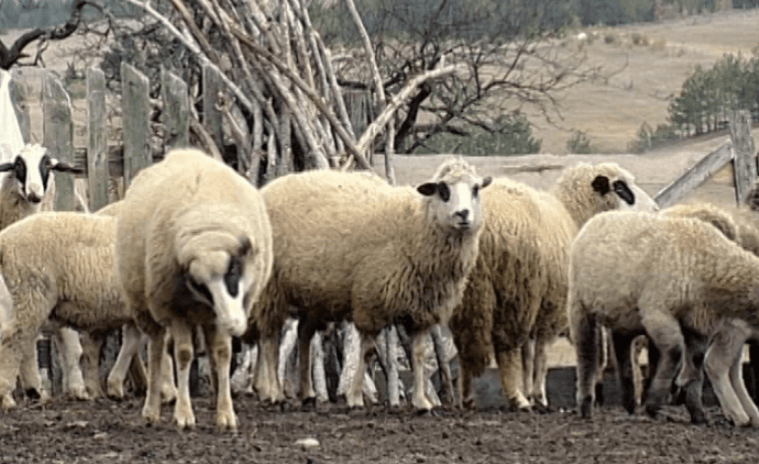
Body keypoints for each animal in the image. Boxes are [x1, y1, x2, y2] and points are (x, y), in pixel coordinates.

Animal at [115, 149, 274, 432]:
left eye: (233, 270)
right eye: (199, 283)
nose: (233, 324)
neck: (208, 224)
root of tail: (180, 152)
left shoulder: (218, 312)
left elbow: (222, 353)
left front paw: (226, 414)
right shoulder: (175, 309)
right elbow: (183, 354)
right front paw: (183, 415)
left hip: (204, 316)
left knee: (209, 350)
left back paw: (215, 398)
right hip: (147, 307)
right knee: (157, 349)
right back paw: (151, 409)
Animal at [249, 159, 492, 410]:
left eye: (475, 189)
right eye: (443, 190)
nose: (463, 214)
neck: (415, 227)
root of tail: (264, 190)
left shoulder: (421, 310)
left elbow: (418, 355)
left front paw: (421, 402)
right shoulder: (370, 301)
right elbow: (366, 353)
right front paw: (355, 397)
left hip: (313, 296)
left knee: (303, 335)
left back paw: (307, 392)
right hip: (271, 287)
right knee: (269, 338)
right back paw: (274, 392)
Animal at [448, 163, 656, 410]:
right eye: (621, 188)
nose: (655, 209)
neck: (573, 215)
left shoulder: (537, 302)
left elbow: (528, 356)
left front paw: (530, 391)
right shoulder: (551, 303)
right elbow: (542, 354)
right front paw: (538, 396)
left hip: (466, 294)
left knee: (465, 346)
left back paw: (467, 397)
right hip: (512, 288)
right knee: (505, 348)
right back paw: (516, 399)